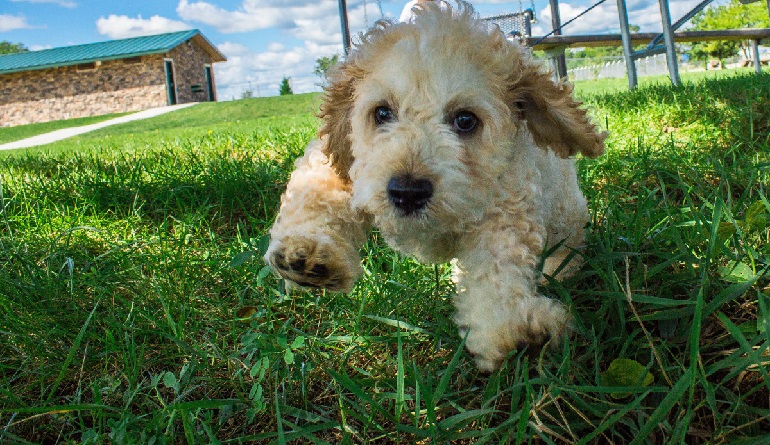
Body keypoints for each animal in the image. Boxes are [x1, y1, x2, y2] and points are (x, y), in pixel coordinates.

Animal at [264, 1, 600, 372]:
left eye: (465, 120)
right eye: (382, 113)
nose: (407, 193)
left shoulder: (506, 205)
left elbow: (498, 265)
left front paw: (515, 328)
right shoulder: (344, 162)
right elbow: (316, 190)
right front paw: (307, 254)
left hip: (566, 211)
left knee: (568, 242)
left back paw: (560, 272)